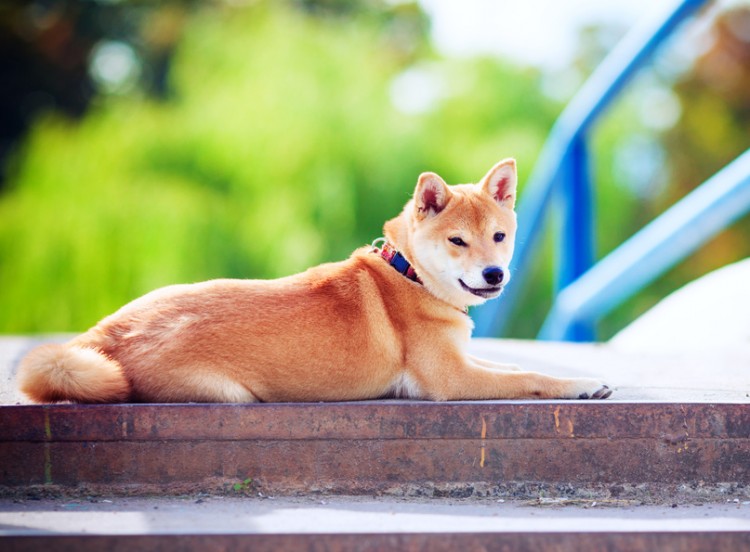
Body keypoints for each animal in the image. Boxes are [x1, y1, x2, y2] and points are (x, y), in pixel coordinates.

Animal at [17, 157, 612, 404]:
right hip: (227, 392)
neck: (409, 275)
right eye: (457, 242)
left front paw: (582, 376)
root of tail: (102, 336)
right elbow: (528, 377)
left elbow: (515, 365)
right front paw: (579, 385)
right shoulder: (449, 379)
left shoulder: (463, 360)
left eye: (499, 236)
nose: (494, 273)